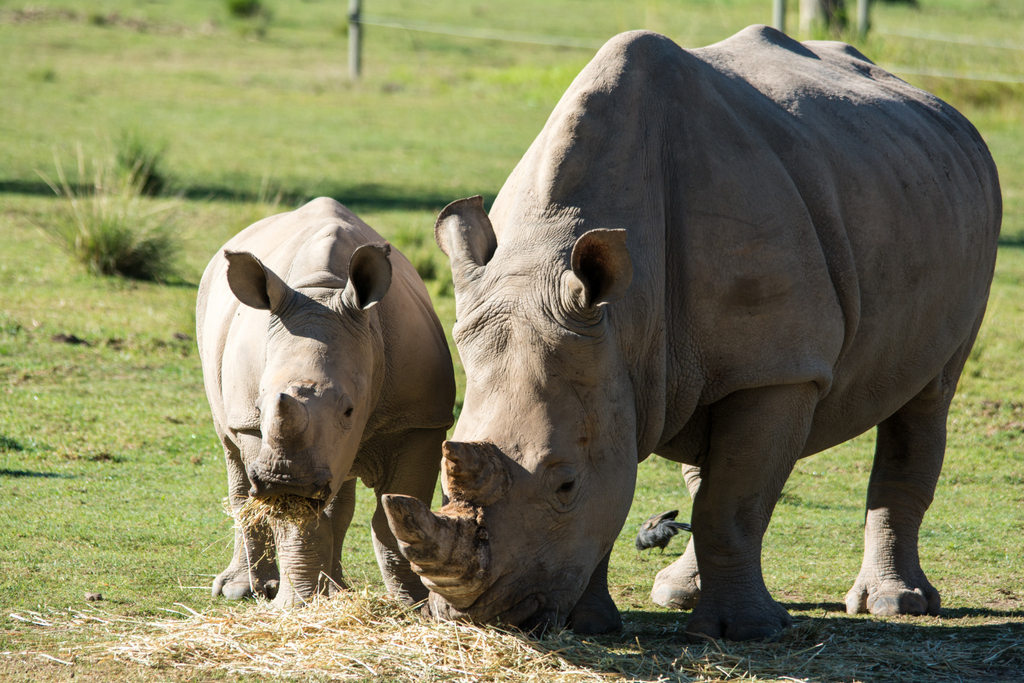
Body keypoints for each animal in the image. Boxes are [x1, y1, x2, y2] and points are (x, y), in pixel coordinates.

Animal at [197, 197, 455, 607]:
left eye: (350, 409)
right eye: (262, 403)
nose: (283, 477)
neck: (322, 290)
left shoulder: (419, 420)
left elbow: (396, 512)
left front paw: (415, 604)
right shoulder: (253, 423)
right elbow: (295, 519)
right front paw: (299, 605)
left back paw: (336, 590)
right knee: (235, 463)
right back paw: (242, 590)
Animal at [381, 27, 1002, 640]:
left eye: (565, 486)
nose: (483, 619)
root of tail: (943, 109)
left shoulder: (777, 369)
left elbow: (732, 506)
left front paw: (744, 632)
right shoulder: (614, 360)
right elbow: (647, 483)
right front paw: (591, 627)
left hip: (960, 213)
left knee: (927, 397)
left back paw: (896, 604)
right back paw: (678, 594)